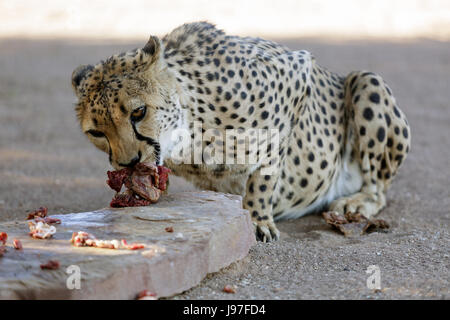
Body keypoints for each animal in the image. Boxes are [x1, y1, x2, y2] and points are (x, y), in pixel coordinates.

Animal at [71, 21, 412, 242]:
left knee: (378, 189)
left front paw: (257, 217)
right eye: (96, 132)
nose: (128, 162)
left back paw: (357, 203)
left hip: (367, 81)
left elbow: (265, 173)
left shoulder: (296, 77)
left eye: (139, 112)